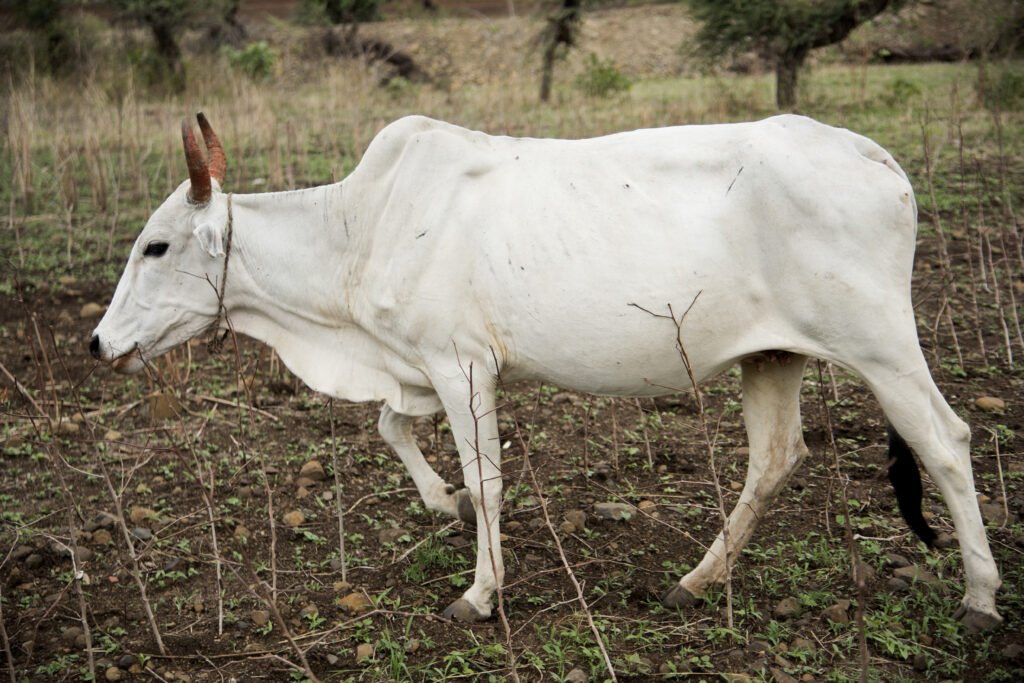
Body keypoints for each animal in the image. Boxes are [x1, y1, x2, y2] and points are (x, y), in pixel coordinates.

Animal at [90, 113, 1002, 630]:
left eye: (157, 246)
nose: (99, 343)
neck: (358, 229)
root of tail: (875, 157)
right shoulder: (419, 367)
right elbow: (393, 424)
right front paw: (442, 503)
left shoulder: (459, 362)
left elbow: (487, 477)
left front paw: (477, 592)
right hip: (771, 356)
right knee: (775, 459)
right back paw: (697, 580)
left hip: (880, 344)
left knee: (946, 440)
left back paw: (981, 599)